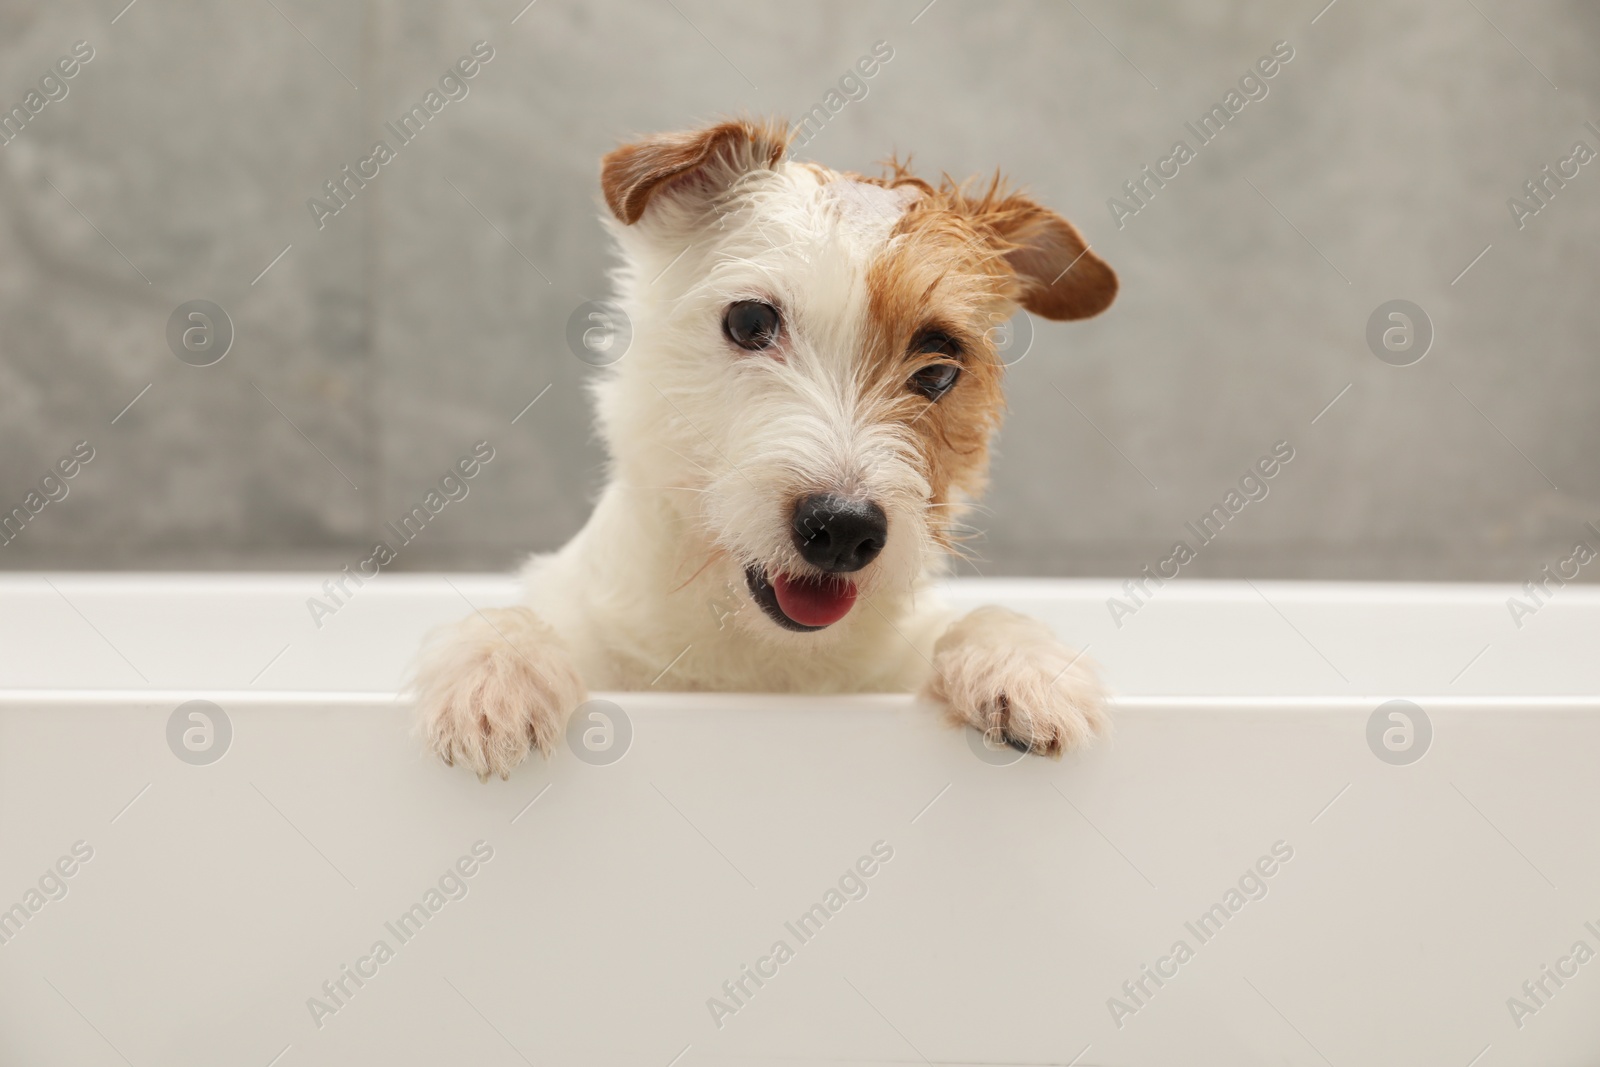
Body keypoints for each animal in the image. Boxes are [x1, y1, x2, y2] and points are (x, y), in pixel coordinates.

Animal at [412, 119, 1120, 783]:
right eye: (750, 322)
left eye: (941, 367)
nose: (842, 529)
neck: (759, 656)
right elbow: (513, 618)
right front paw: (495, 676)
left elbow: (976, 617)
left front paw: (1023, 663)